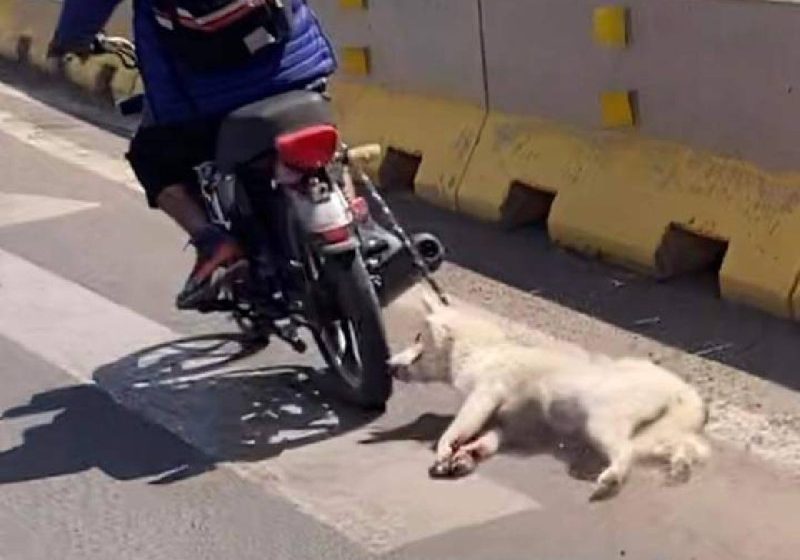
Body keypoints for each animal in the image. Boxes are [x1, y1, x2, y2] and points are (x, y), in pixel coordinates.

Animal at [390, 296, 708, 500]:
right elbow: (491, 436)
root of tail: (681, 388)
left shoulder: (487, 392)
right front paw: (470, 451)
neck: (482, 350)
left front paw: (446, 447)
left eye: (417, 337)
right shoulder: (512, 421)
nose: (389, 365)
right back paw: (680, 465)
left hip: (602, 419)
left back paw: (612, 477)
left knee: (626, 451)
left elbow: (460, 424)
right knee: (686, 446)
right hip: (655, 431)